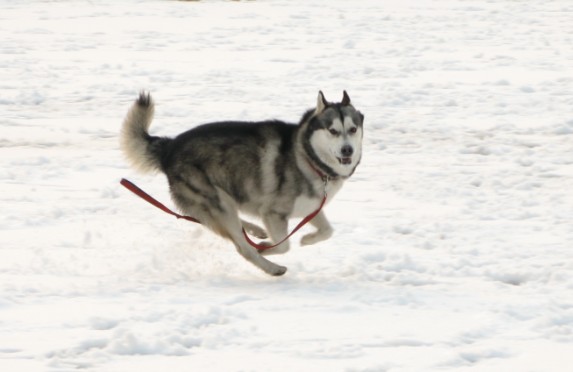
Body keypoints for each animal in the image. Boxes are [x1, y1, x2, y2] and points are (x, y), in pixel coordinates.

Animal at [120, 91, 362, 274]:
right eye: (332, 130)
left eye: (352, 129)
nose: (347, 150)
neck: (307, 157)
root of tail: (169, 147)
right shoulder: (273, 212)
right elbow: (283, 245)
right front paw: (267, 248)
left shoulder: (311, 207)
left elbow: (327, 231)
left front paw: (307, 239)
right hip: (216, 200)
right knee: (242, 247)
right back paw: (272, 267)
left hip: (223, 199)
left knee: (221, 221)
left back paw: (255, 231)